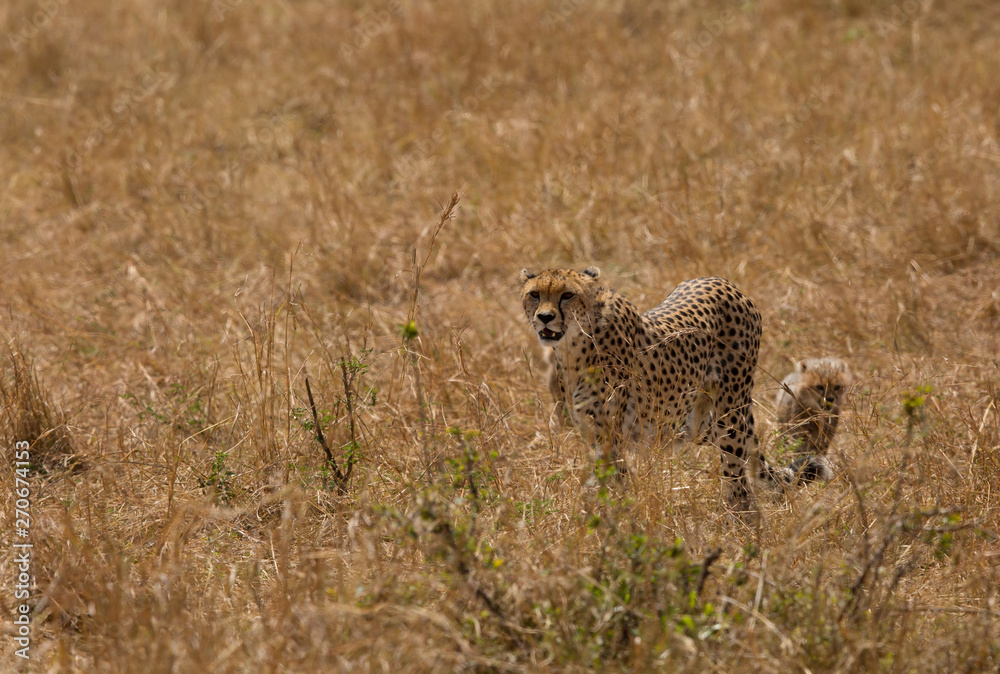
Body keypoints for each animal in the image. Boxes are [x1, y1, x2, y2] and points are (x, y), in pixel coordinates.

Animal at [520, 266, 820, 512]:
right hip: (696, 423)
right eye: (534, 294)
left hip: (730, 414)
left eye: (567, 295)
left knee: (738, 479)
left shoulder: (610, 438)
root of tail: (722, 281)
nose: (544, 317)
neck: (575, 345)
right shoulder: (596, 435)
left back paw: (743, 526)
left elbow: (615, 483)